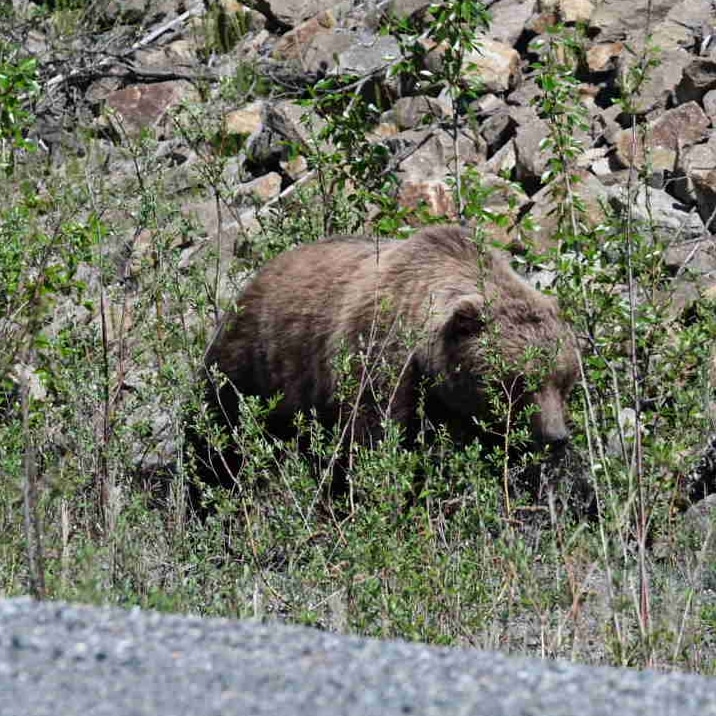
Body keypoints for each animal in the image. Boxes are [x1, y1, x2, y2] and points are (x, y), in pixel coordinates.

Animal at [199, 225, 578, 484]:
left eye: (564, 380)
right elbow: (376, 440)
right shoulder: (381, 363)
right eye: (519, 382)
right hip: (253, 363)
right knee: (219, 432)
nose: (556, 437)